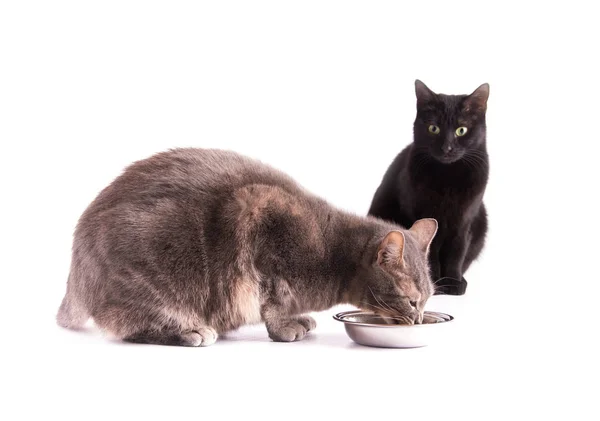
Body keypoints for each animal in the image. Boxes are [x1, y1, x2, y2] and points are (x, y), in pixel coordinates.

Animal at [58, 148, 438, 344]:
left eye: (427, 300)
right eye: (412, 300)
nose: (419, 319)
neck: (334, 252)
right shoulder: (256, 211)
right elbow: (272, 299)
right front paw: (285, 326)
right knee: (127, 322)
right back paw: (187, 330)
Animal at [368, 79, 490, 296]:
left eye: (461, 130)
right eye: (434, 128)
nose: (447, 148)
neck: (448, 177)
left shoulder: (464, 220)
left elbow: (457, 251)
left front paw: (453, 282)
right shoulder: (421, 212)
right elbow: (429, 250)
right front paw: (434, 282)